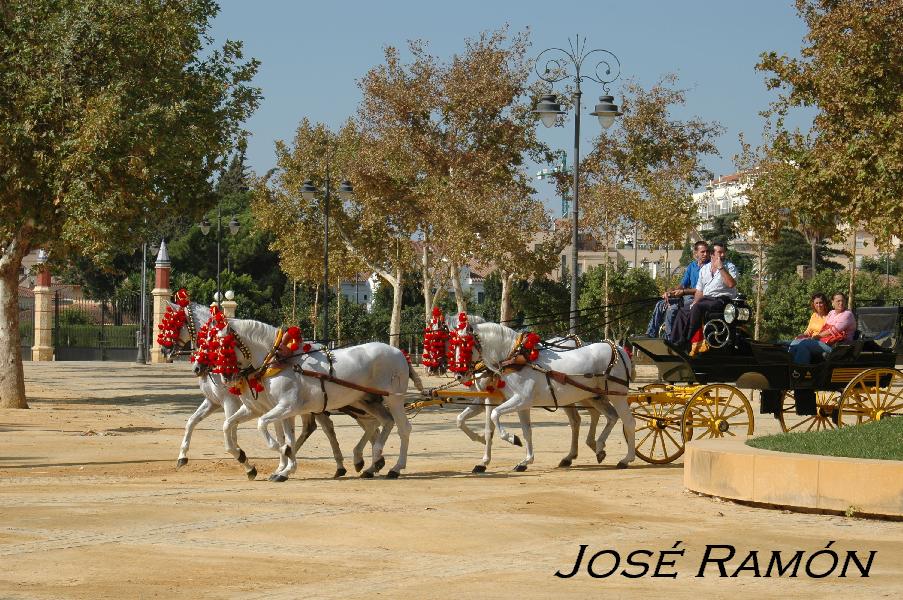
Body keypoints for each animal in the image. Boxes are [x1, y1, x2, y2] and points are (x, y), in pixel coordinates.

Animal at [161, 302, 384, 480]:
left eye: (174, 324)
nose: (197, 368)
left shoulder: (233, 403)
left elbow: (233, 433)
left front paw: (247, 462)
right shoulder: (217, 402)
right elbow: (194, 422)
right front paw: (182, 457)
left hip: (350, 402)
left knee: (368, 424)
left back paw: (370, 462)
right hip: (333, 404)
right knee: (345, 426)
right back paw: (358, 464)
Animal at [221, 322, 426, 480]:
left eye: (225, 347)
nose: (225, 377)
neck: (281, 360)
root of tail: (399, 352)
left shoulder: (285, 406)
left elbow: (265, 426)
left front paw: (282, 454)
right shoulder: (276, 409)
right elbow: (230, 424)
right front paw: (283, 467)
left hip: (393, 398)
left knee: (403, 428)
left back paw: (395, 468)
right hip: (366, 401)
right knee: (383, 422)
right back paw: (370, 464)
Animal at [456, 322, 640, 472]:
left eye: (465, 347)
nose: (459, 375)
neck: (517, 358)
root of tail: (619, 349)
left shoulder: (521, 400)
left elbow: (495, 416)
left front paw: (512, 439)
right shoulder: (519, 404)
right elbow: (526, 431)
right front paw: (525, 460)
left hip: (617, 396)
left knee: (629, 423)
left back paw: (626, 459)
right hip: (596, 396)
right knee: (609, 417)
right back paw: (598, 448)